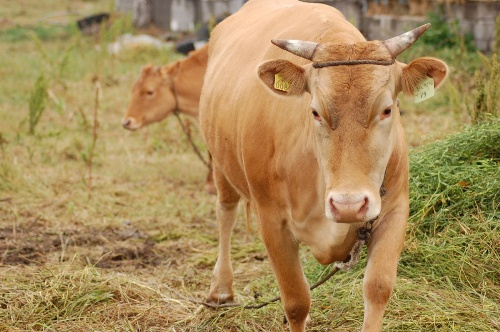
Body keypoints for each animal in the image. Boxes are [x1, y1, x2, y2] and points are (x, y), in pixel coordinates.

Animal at [199, 0, 450, 330]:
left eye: (387, 109)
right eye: (315, 111)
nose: (348, 205)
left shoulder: (395, 211)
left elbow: (378, 287)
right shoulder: (272, 222)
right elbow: (296, 301)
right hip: (220, 163)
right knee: (225, 213)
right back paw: (221, 290)